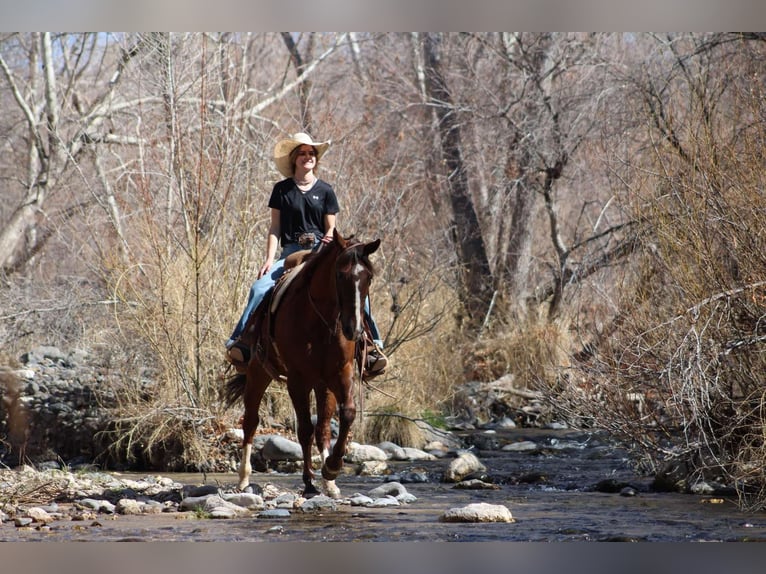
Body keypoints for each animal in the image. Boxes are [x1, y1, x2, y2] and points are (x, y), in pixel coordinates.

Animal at [225, 230, 380, 500]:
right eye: (340, 274)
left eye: (368, 277)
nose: (354, 329)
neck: (321, 320)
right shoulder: (298, 380)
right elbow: (305, 429)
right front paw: (309, 482)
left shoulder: (339, 374)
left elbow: (346, 415)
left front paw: (331, 469)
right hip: (257, 372)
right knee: (251, 422)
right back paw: (244, 479)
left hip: (322, 385)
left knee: (323, 429)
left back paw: (329, 481)